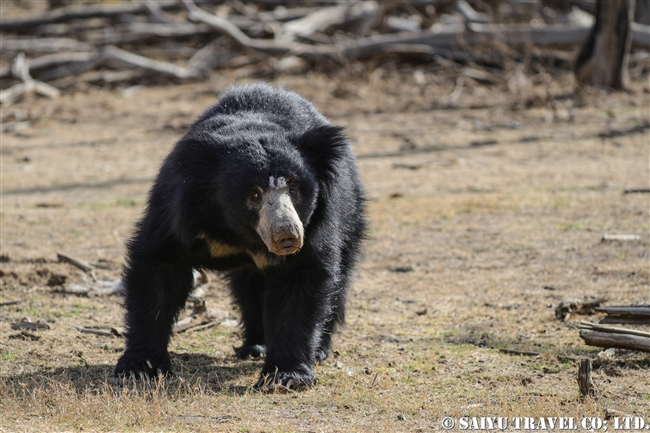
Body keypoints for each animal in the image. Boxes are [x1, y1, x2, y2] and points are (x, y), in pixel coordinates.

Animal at [115, 82, 364, 390]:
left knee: (339, 280)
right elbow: (158, 270)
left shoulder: (317, 223)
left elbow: (301, 280)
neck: (241, 233)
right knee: (250, 289)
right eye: (254, 194)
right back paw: (255, 346)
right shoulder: (176, 210)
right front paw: (140, 368)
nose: (287, 236)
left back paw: (317, 349)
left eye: (294, 189)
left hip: (350, 213)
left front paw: (286, 376)